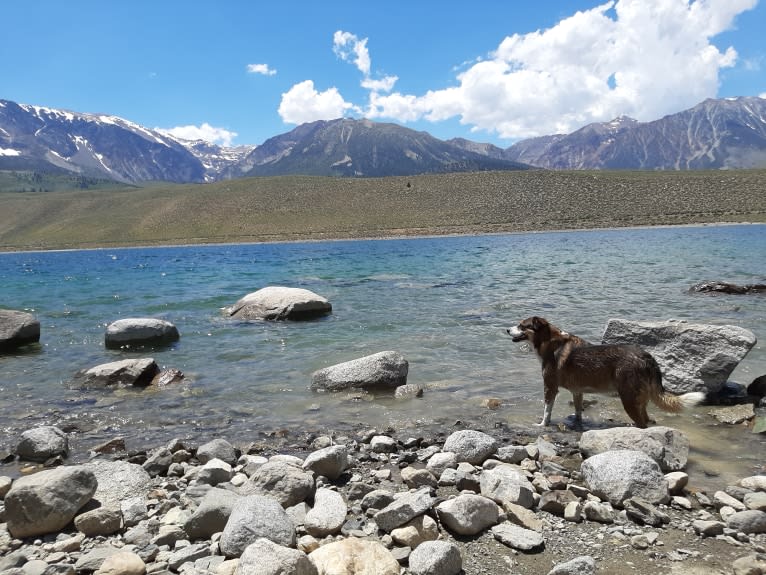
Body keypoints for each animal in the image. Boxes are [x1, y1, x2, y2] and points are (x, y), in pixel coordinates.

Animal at [510, 318, 708, 430]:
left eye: (521, 326)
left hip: (628, 398)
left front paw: (542, 424)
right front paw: (577, 422)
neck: (549, 341)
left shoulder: (550, 387)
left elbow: (547, 410)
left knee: (643, 424)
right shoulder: (577, 391)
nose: (506, 329)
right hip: (639, 399)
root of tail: (647, 356)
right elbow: (578, 409)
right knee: (646, 419)